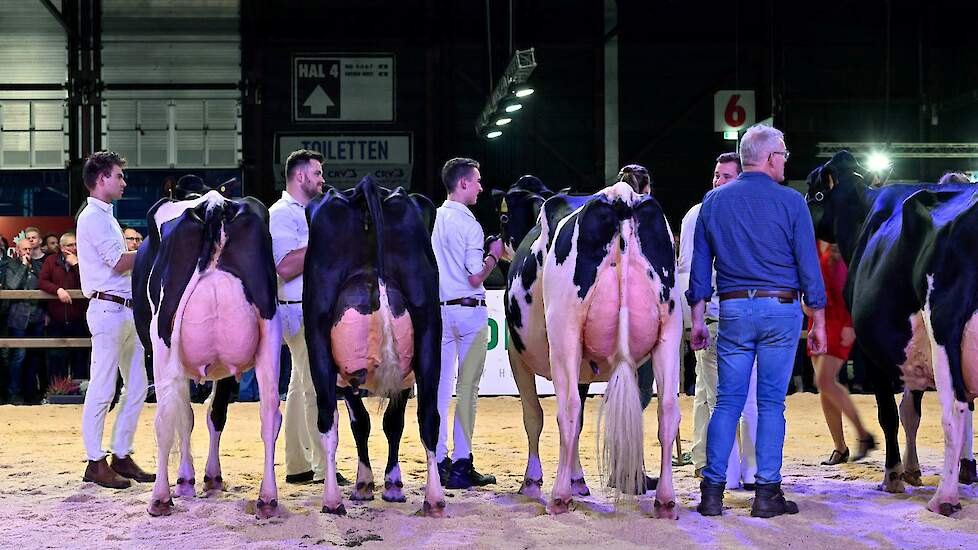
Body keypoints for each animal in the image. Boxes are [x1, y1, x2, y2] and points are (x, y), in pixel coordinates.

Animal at [132, 190, 282, 516]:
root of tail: (214, 203)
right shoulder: (226, 368)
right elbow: (215, 414)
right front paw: (212, 477)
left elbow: (184, 416)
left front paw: (186, 480)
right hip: (270, 330)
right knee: (269, 413)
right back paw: (267, 498)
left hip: (162, 340)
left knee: (165, 417)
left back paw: (160, 498)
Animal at [304, 176, 444, 516]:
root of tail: (365, 187)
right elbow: (390, 423)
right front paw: (387, 485)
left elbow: (363, 424)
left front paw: (369, 484)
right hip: (428, 326)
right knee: (429, 417)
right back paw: (434, 499)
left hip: (318, 336)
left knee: (327, 419)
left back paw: (332, 501)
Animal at [504, 181, 680, 516]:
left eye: (504, 217)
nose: (492, 242)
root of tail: (620, 196)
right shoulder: (586, 368)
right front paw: (578, 479)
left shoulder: (516, 355)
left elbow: (533, 416)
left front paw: (533, 481)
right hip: (670, 332)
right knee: (667, 410)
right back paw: (665, 499)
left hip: (565, 334)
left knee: (568, 409)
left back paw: (559, 496)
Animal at [804, 149, 976, 516]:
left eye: (815, 193)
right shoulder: (910, 345)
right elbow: (911, 411)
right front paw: (912, 469)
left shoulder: (874, 352)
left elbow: (889, 414)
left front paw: (893, 475)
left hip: (944, 328)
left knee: (955, 408)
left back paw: (945, 498)